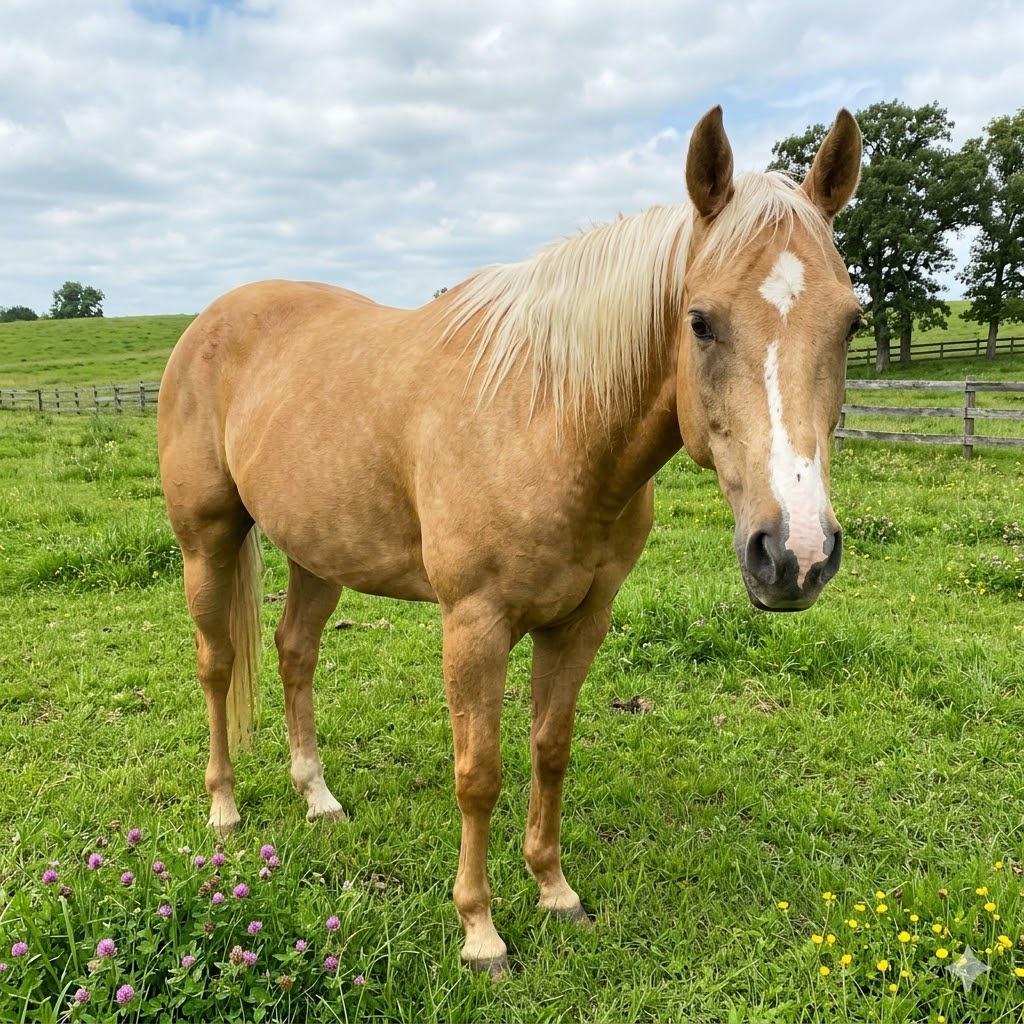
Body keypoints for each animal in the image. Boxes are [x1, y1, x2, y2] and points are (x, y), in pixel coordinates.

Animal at [157, 105, 862, 977]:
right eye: (700, 321)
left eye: (851, 323)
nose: (796, 555)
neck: (548, 417)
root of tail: (207, 323)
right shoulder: (475, 624)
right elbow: (479, 773)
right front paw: (480, 931)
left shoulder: (583, 619)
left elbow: (549, 749)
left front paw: (555, 892)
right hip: (207, 543)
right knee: (217, 664)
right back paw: (224, 808)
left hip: (318, 553)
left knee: (294, 654)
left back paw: (317, 797)